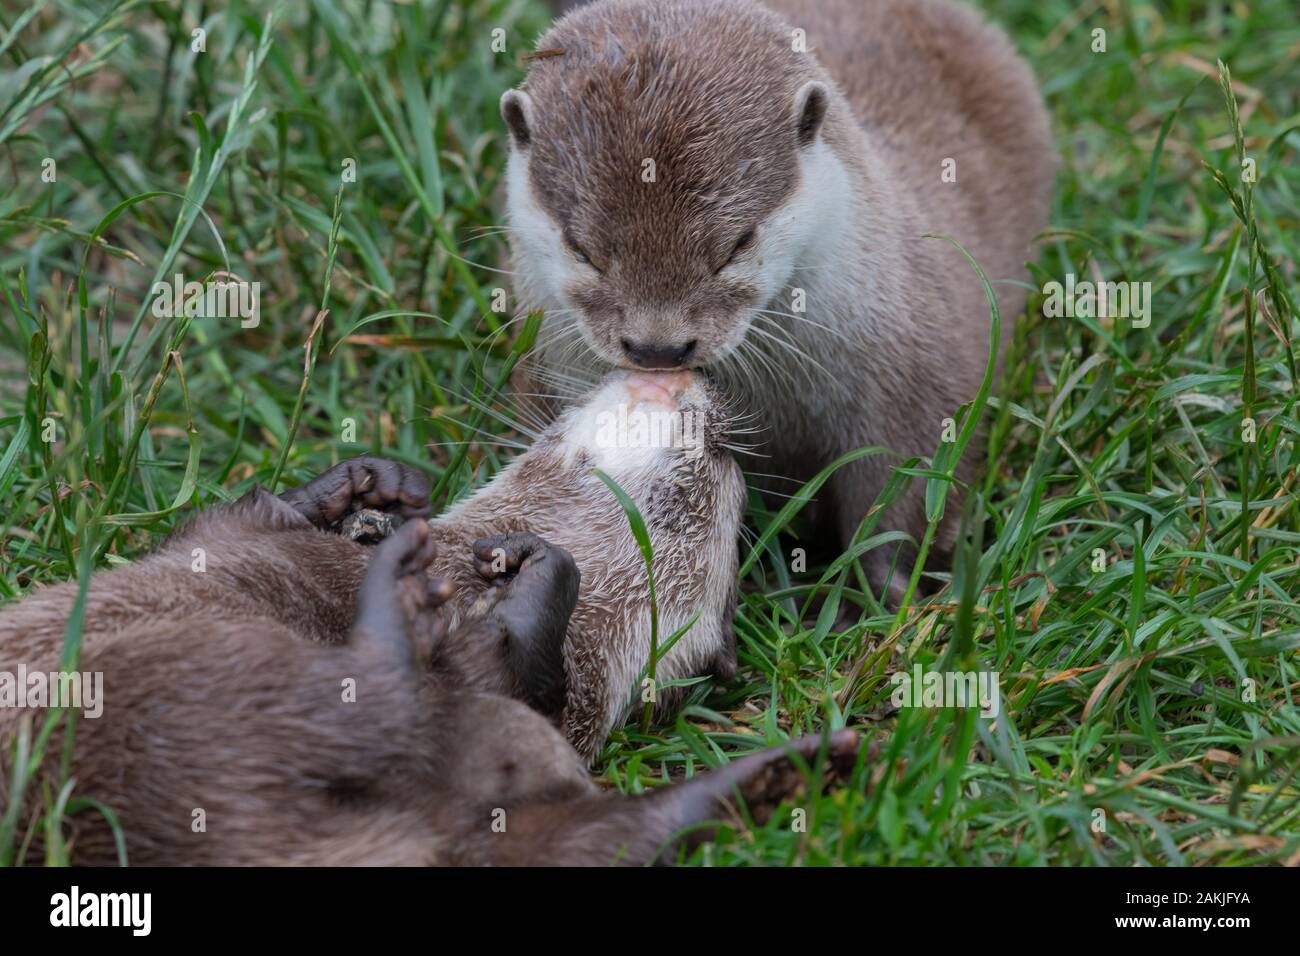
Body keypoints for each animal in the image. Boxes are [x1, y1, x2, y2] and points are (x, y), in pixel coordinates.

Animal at [496, 0, 1055, 598]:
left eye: (737, 244)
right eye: (582, 249)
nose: (658, 348)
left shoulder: (918, 378)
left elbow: (901, 499)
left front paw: (895, 594)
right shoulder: (547, 371)